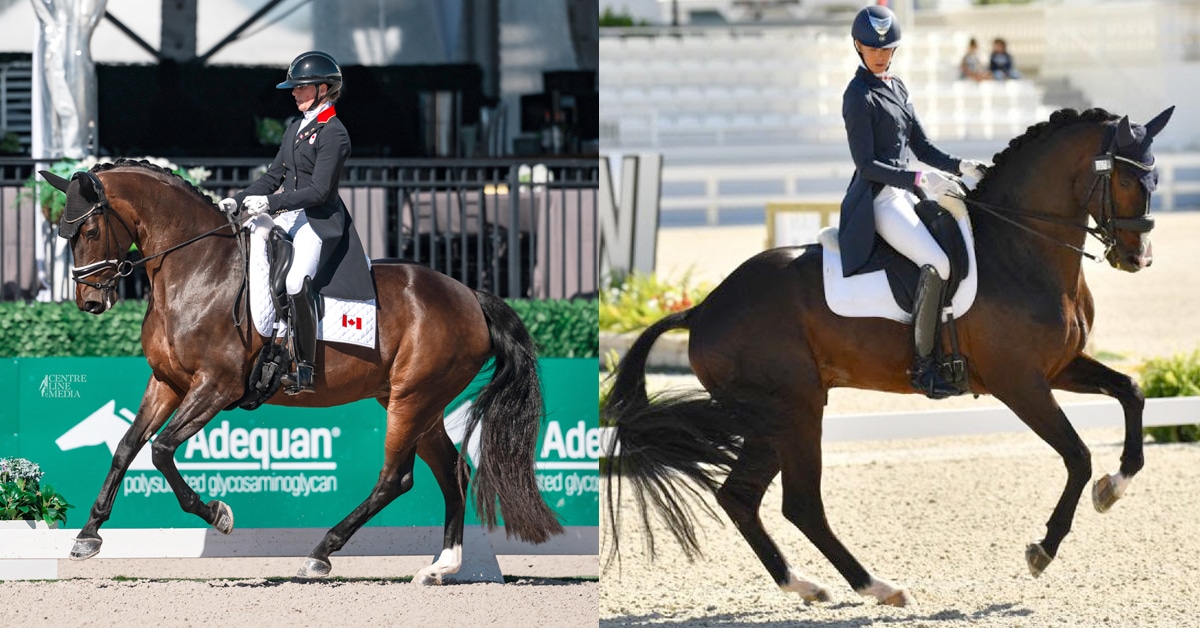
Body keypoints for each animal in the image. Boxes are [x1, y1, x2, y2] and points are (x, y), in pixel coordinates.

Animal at [40, 159, 563, 582]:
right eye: (64, 235)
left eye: (89, 232)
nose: (89, 302)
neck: (195, 270)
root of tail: (470, 295)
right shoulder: (168, 382)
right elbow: (127, 447)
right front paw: (88, 536)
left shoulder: (216, 387)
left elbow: (162, 450)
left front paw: (217, 514)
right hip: (417, 402)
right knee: (453, 471)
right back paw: (440, 566)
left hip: (412, 401)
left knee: (395, 478)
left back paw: (320, 554)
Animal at [603, 107, 1174, 607]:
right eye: (1127, 180)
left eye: (1155, 178)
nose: (1137, 259)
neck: (1019, 247)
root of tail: (704, 308)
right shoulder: (1019, 383)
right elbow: (1077, 456)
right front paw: (1044, 549)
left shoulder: (1058, 368)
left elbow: (1132, 392)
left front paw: (1115, 486)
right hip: (794, 410)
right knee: (800, 504)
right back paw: (879, 587)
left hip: (774, 419)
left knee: (741, 498)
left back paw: (807, 585)